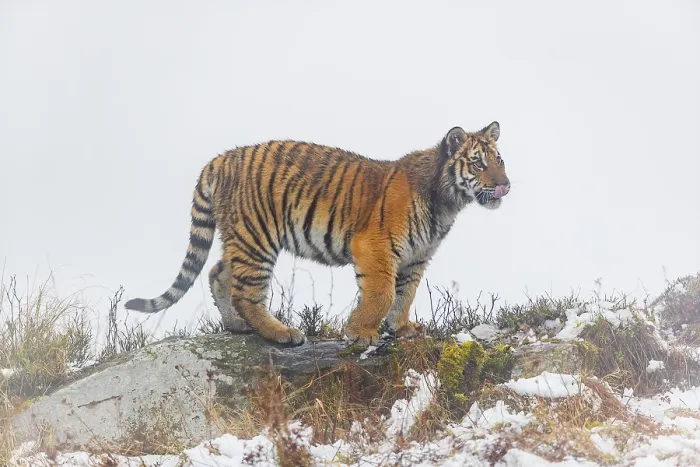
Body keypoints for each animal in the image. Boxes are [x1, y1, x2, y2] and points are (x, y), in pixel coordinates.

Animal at [124, 121, 510, 347]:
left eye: (500, 160)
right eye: (477, 162)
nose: (505, 185)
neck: (447, 202)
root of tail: (219, 159)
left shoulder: (416, 257)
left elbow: (404, 295)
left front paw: (401, 329)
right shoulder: (376, 246)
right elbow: (382, 292)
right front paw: (361, 332)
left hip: (240, 237)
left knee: (218, 273)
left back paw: (236, 326)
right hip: (257, 238)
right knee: (246, 293)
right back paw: (281, 333)